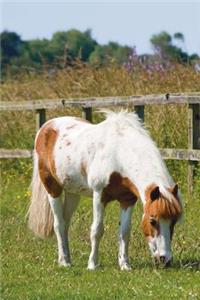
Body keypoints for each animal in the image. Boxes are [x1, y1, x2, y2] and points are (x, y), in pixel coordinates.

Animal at [28, 110, 183, 270]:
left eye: (174, 221)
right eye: (152, 221)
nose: (165, 260)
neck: (118, 154)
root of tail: (46, 127)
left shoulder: (128, 200)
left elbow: (124, 231)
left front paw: (125, 265)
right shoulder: (99, 195)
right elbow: (97, 230)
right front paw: (92, 264)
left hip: (72, 193)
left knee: (65, 223)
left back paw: (67, 259)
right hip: (53, 189)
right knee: (58, 224)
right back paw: (64, 262)